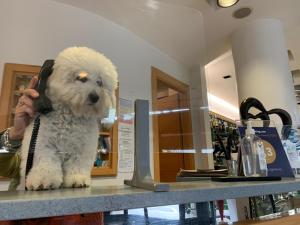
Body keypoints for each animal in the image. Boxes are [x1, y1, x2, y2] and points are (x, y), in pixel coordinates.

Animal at [17, 46, 118, 191]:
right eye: (81, 78)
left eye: (100, 82)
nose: (95, 97)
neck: (72, 116)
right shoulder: (42, 144)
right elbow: (45, 163)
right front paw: (43, 180)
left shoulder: (82, 150)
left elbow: (77, 166)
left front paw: (77, 180)